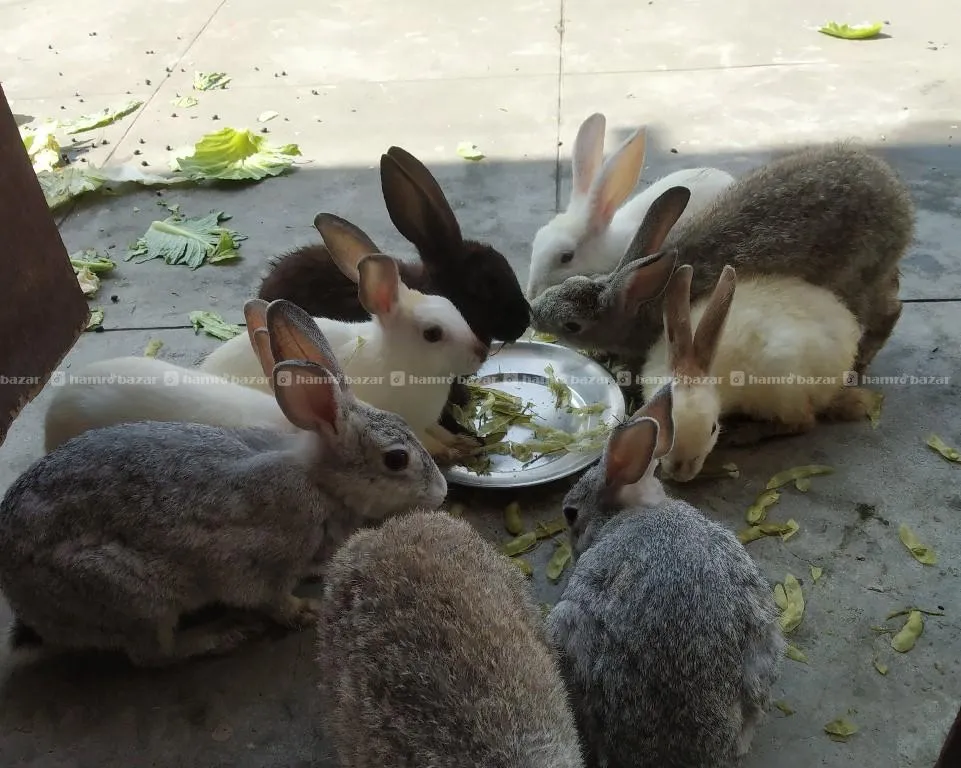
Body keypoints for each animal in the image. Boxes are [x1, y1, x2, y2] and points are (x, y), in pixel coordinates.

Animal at [201, 229, 490, 463]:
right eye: (432, 334)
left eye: (451, 305)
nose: (481, 352)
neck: (400, 363)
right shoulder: (412, 424)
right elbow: (429, 441)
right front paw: (454, 451)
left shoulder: (428, 420)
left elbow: (440, 431)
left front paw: (463, 442)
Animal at [529, 142, 915, 376]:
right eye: (572, 282)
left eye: (573, 325)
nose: (533, 312)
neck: (642, 302)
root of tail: (900, 203)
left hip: (856, 279)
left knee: (887, 313)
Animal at [639, 264, 877, 478]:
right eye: (664, 427)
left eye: (714, 428)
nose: (682, 472)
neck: (694, 365)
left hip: (783, 391)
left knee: (803, 422)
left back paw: (744, 434)